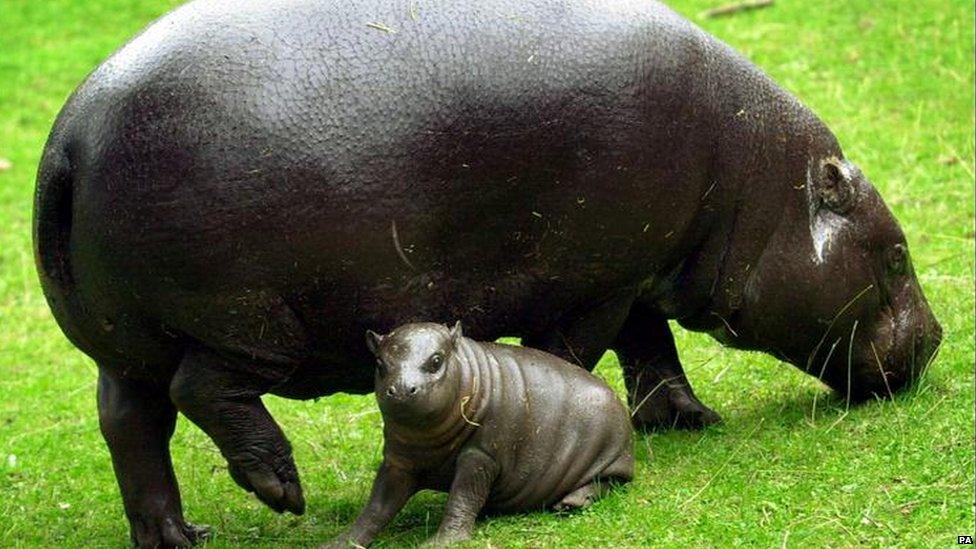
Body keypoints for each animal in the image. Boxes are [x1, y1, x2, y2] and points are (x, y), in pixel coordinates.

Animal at [324, 322, 636, 544]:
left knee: (607, 482)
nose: (401, 389)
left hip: (611, 457)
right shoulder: (398, 461)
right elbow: (376, 507)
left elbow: (463, 496)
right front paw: (340, 542)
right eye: (380, 364)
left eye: (436, 361)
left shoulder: (481, 455)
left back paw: (571, 503)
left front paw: (441, 542)